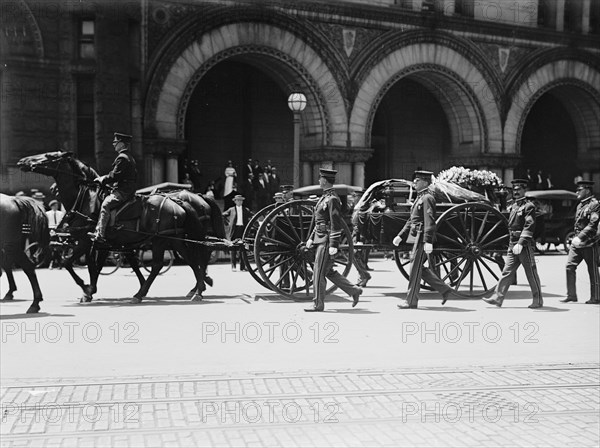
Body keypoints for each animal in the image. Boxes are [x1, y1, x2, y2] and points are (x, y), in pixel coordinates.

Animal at [18, 152, 226, 302]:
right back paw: (197, 288)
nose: (22, 161)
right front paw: (91, 290)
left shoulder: (88, 241)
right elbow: (101, 265)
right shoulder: (105, 244)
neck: (86, 200)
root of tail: (180, 202)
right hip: (174, 240)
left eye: (48, 156)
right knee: (191, 259)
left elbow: (68, 262)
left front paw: (86, 288)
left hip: (163, 240)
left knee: (165, 264)